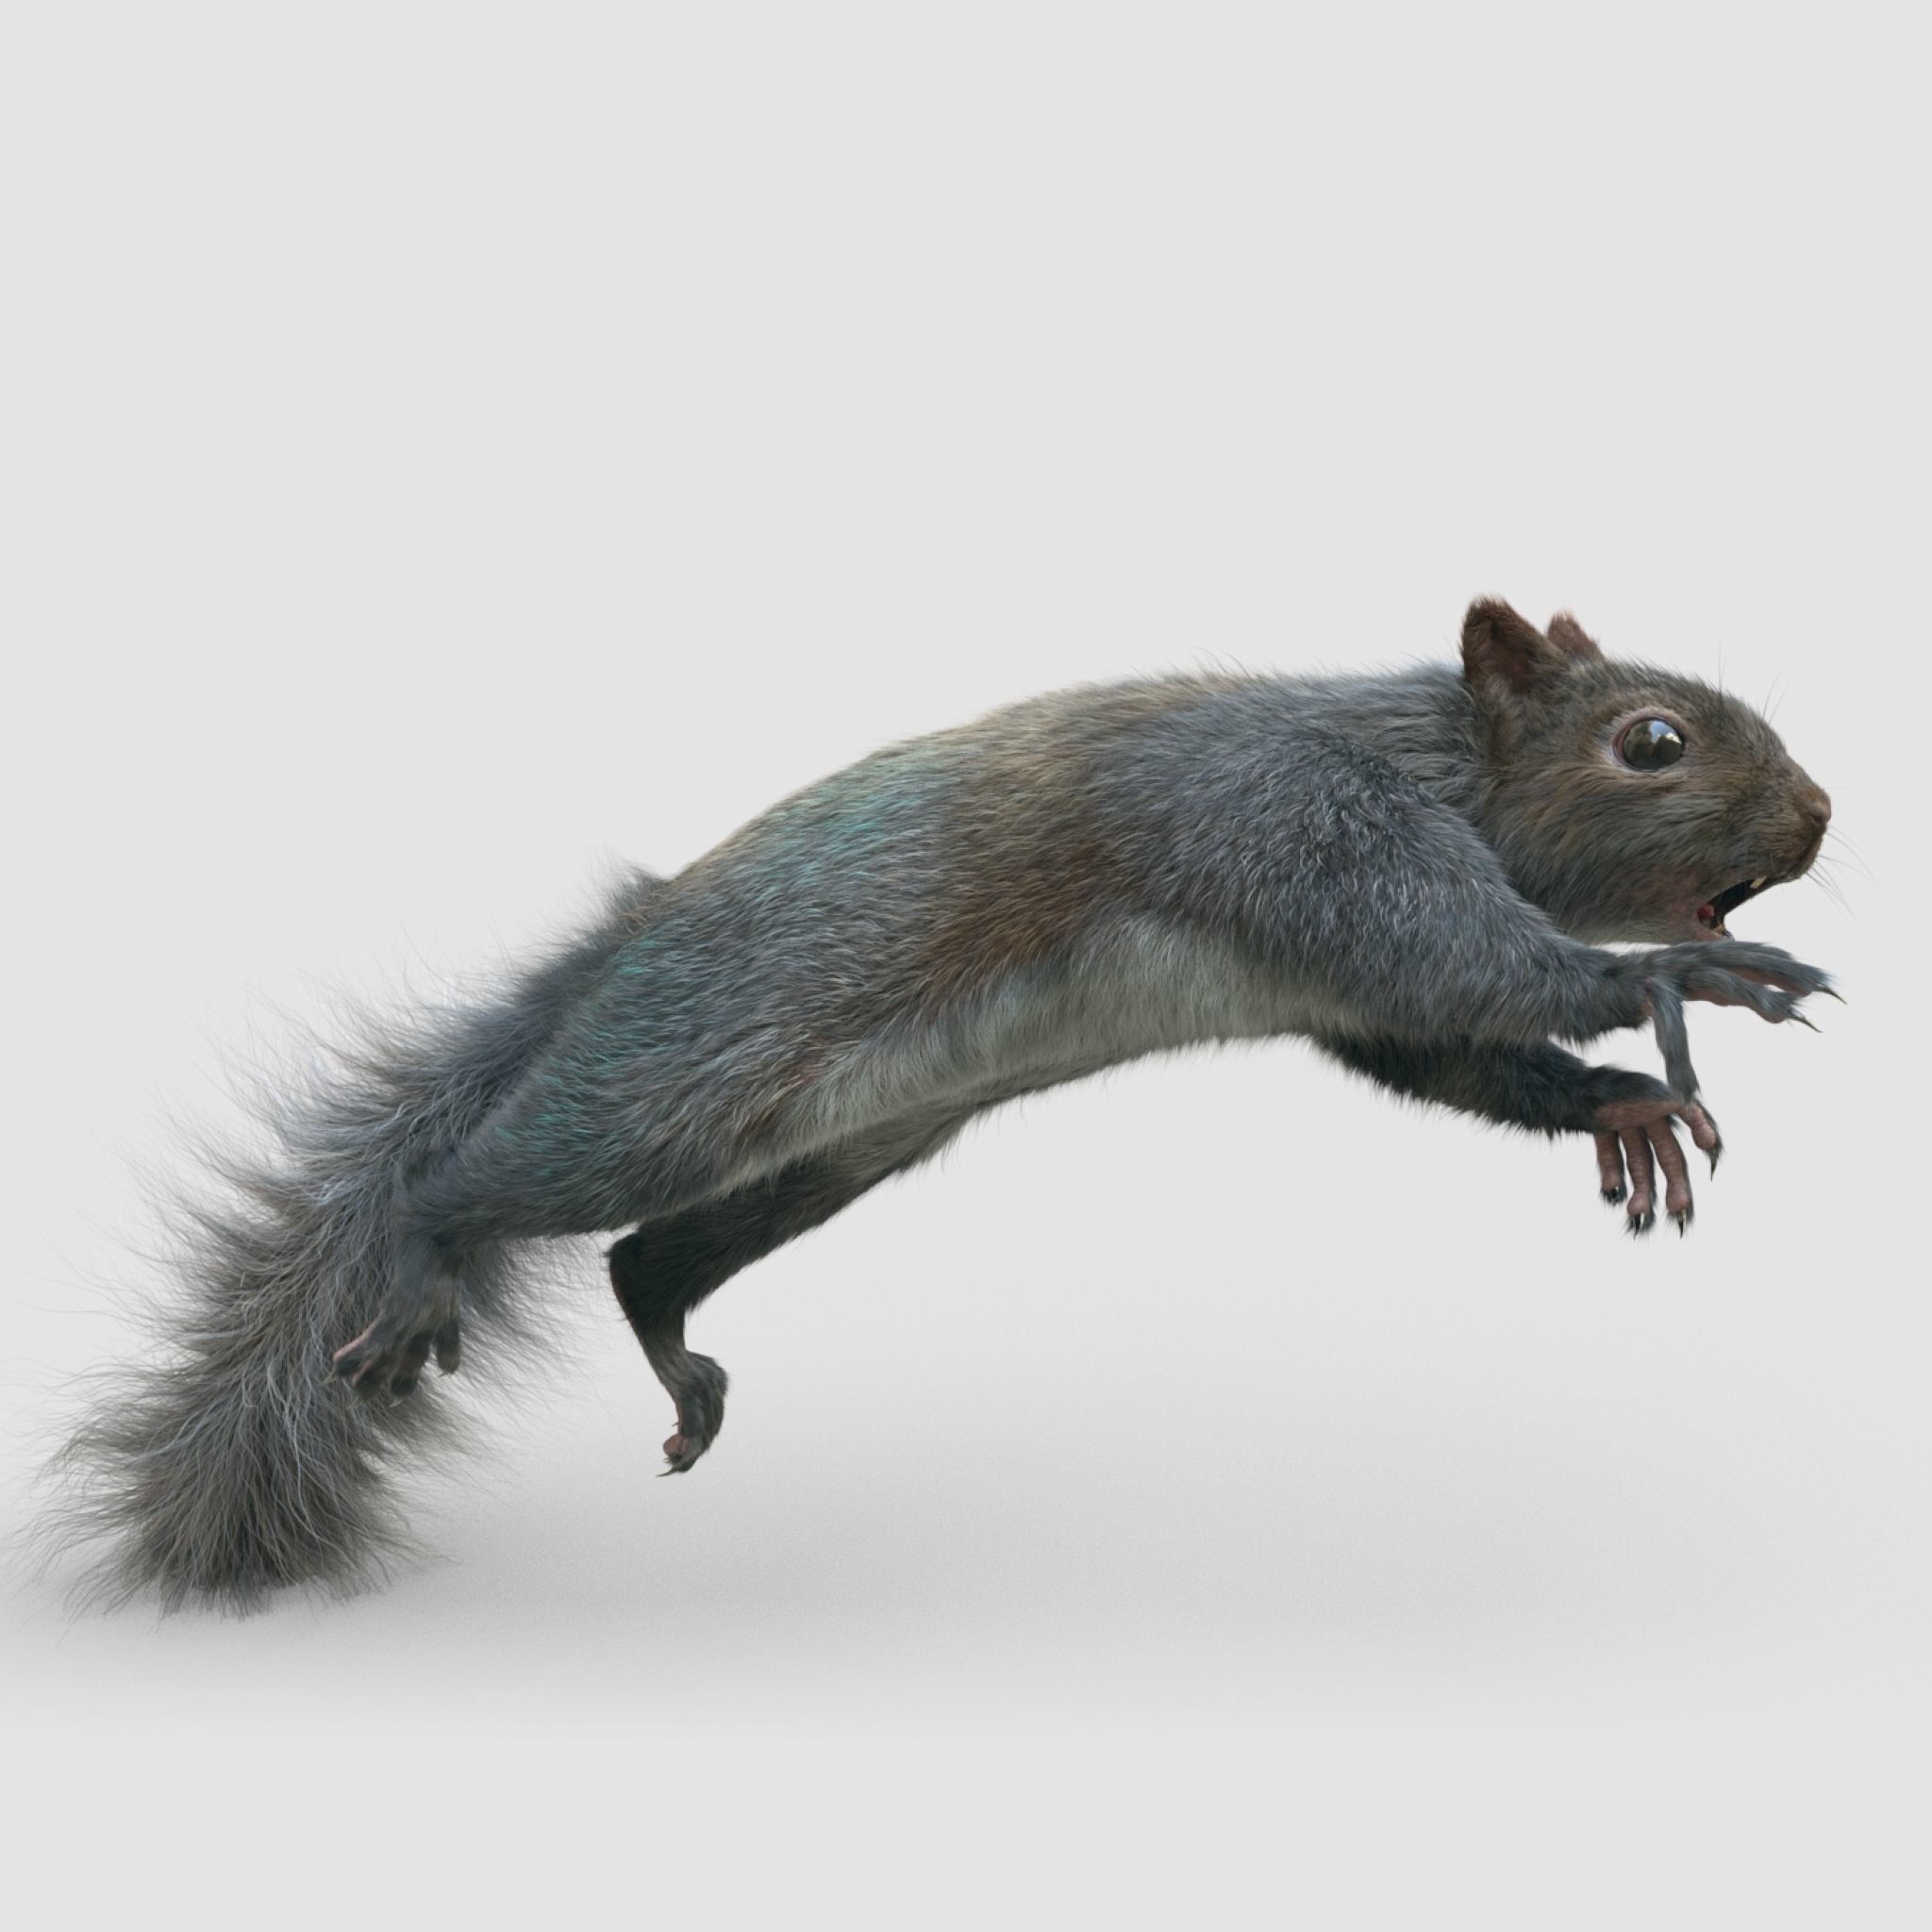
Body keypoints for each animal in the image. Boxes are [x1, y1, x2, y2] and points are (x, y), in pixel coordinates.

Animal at [49, 597, 1835, 1609]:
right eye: (1651, 740)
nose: (1819, 813)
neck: (1430, 754)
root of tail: (621, 946)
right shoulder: (1302, 830)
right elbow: (1472, 964)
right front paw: (1670, 987)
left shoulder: (1339, 977)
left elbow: (1441, 1044)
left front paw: (1616, 1105)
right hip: (686, 1082)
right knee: (494, 1182)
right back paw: (424, 1255)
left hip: (837, 1149)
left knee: (644, 1257)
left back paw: (669, 1340)